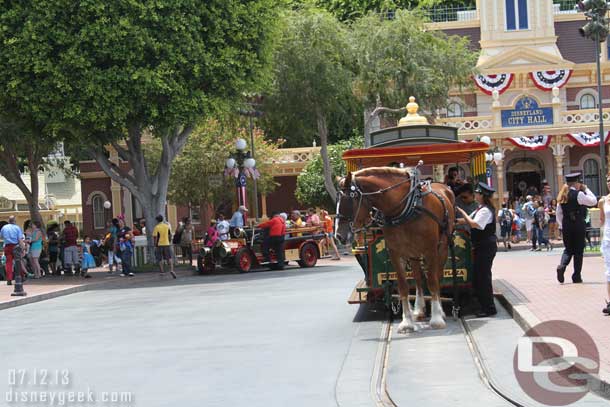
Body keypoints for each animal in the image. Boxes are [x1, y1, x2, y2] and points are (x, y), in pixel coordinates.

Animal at [334, 167, 454, 334]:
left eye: (349, 200)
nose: (338, 236)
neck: (406, 208)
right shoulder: (395, 252)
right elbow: (403, 286)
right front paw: (407, 322)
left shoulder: (431, 250)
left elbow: (432, 281)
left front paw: (436, 319)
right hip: (413, 252)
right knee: (418, 279)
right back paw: (419, 310)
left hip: (442, 247)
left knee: (438, 276)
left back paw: (440, 311)